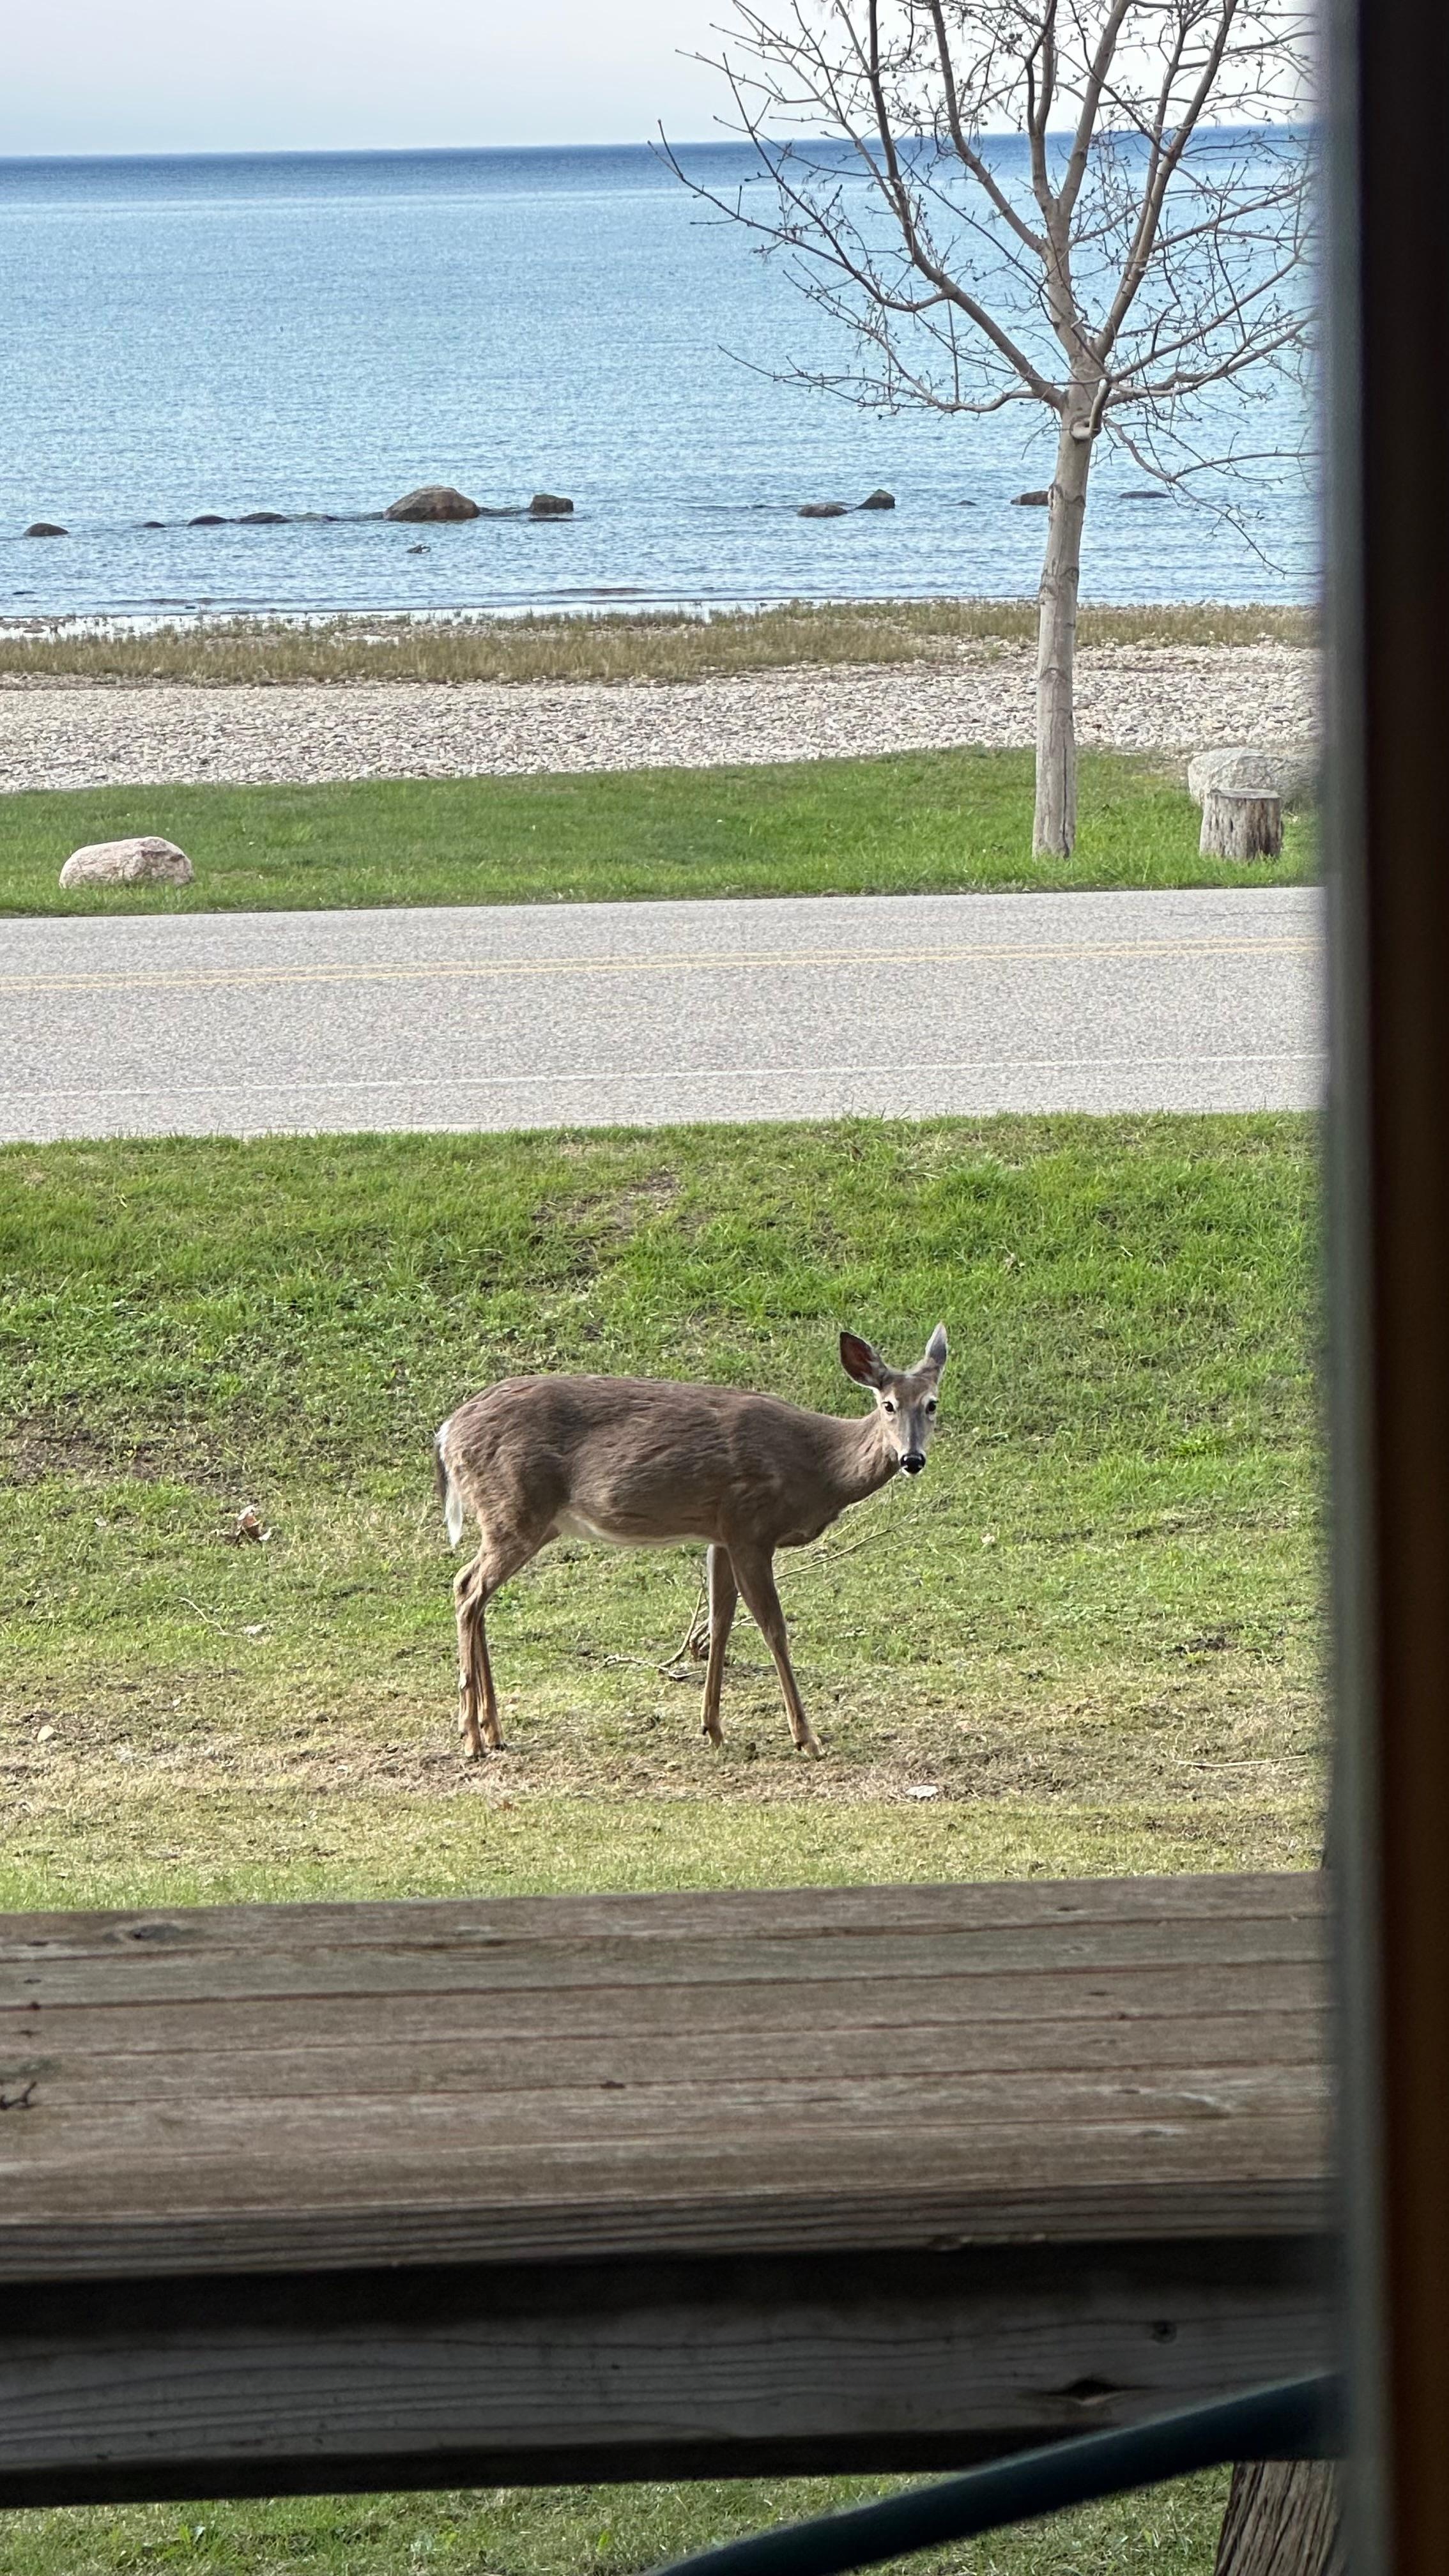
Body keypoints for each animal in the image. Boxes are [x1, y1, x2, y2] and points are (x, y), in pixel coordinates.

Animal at [434, 1324, 947, 1761]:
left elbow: (720, 1622)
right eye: (887, 1404)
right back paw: (472, 1737)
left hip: (525, 1521)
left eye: (931, 1404)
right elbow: (773, 1628)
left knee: (471, 1590)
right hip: (514, 1510)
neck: (819, 1466)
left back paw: (493, 1730)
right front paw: (807, 1738)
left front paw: (713, 1728)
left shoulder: (720, 1534)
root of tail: (446, 1434)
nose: (912, 1459)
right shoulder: (750, 1525)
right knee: (468, 1589)